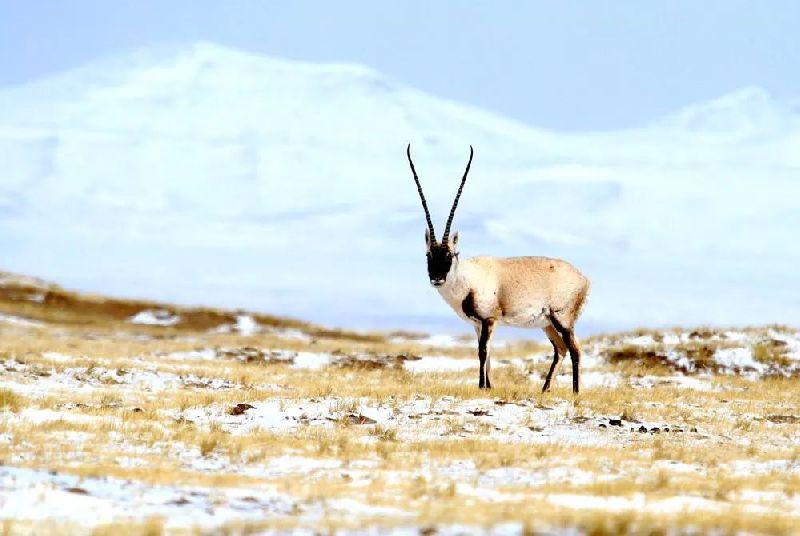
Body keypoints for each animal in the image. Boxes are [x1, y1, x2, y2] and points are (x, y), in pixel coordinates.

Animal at [406, 144, 588, 392]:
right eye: (428, 254)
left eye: (450, 254)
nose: (437, 279)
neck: (468, 278)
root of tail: (583, 279)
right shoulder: (477, 324)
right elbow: (488, 355)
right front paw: (487, 387)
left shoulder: (489, 320)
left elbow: (483, 352)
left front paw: (482, 387)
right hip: (547, 324)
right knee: (560, 349)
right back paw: (544, 390)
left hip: (563, 320)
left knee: (575, 349)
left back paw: (575, 393)